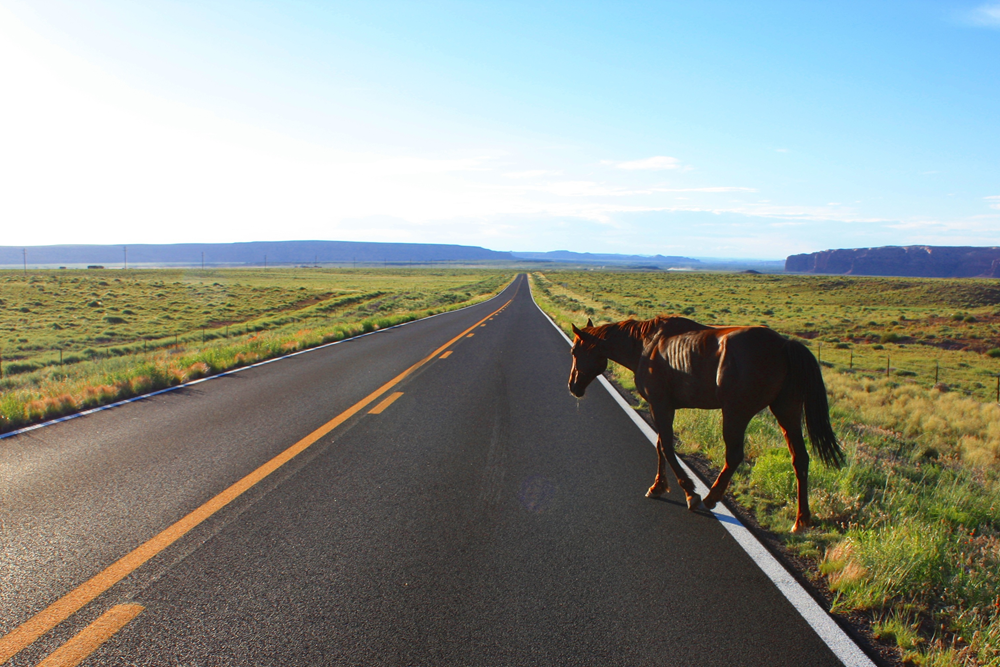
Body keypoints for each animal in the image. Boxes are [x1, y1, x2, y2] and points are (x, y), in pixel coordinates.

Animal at [568, 318, 840, 532]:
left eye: (575, 352)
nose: (572, 386)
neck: (646, 346)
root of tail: (784, 344)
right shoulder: (664, 407)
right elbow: (660, 445)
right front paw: (658, 486)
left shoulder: (660, 405)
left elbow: (666, 447)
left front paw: (690, 492)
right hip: (786, 410)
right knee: (800, 458)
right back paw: (801, 520)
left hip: (735, 413)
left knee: (734, 456)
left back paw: (710, 498)